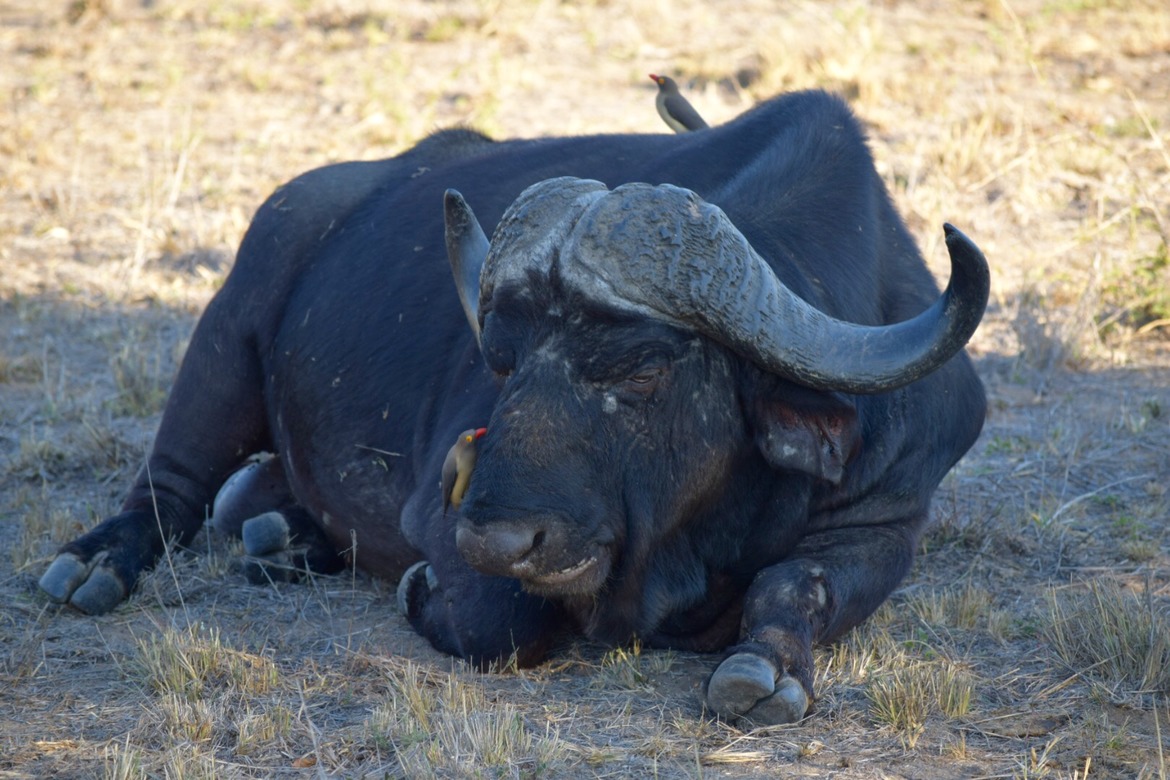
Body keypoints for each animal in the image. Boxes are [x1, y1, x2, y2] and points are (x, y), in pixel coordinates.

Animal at [40, 89, 989, 724]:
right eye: (504, 359)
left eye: (641, 367)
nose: (498, 539)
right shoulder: (443, 522)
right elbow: (504, 620)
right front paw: (421, 587)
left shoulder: (886, 521)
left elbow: (797, 583)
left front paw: (766, 667)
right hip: (226, 330)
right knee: (169, 487)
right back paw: (95, 565)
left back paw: (285, 537)